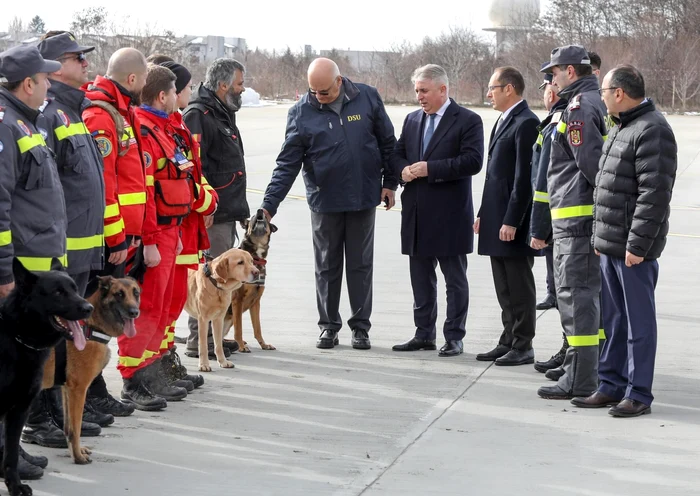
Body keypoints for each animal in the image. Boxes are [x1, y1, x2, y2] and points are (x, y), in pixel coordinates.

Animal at [0, 258, 93, 494]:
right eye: (58, 293)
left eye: (75, 289)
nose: (89, 308)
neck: (17, 337)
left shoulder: (19, 411)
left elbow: (11, 455)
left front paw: (15, 485)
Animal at [41, 278, 141, 464]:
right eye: (119, 294)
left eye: (136, 293)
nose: (134, 312)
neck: (92, 326)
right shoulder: (78, 390)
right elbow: (76, 429)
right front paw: (78, 457)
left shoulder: (67, 390)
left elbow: (68, 428)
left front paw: (76, 452)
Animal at [226, 209, 278, 352]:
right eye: (254, 216)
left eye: (265, 217)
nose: (260, 210)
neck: (255, 258)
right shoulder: (237, 300)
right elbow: (239, 329)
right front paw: (241, 346)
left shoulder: (256, 301)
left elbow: (257, 327)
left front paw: (264, 344)